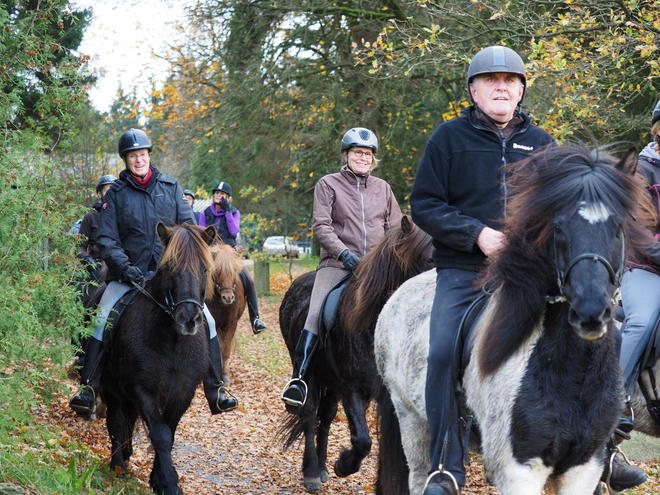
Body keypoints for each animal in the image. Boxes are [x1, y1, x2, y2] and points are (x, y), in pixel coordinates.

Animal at [100, 225, 214, 495]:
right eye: (170, 267)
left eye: (204, 269)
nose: (189, 319)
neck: (172, 341)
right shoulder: (144, 390)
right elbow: (160, 434)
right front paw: (169, 482)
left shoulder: (183, 392)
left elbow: (169, 433)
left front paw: (159, 479)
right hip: (111, 389)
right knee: (115, 421)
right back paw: (118, 465)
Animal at [278, 217, 434, 492]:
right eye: (430, 259)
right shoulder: (352, 387)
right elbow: (362, 440)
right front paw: (343, 465)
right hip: (311, 377)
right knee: (309, 414)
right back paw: (312, 472)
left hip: (331, 382)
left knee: (326, 416)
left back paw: (322, 468)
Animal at [374, 144, 652, 495]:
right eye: (558, 227)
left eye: (618, 227)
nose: (590, 313)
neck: (570, 374)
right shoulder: (519, 470)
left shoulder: (584, 468)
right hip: (411, 420)